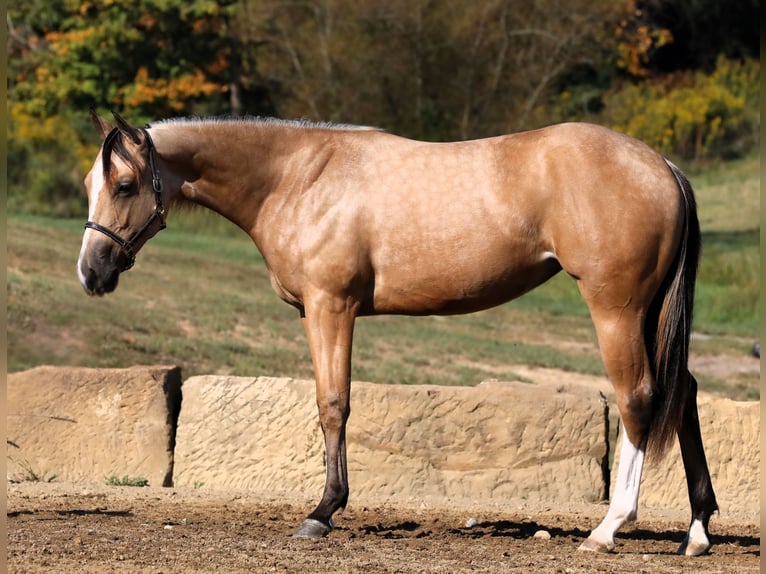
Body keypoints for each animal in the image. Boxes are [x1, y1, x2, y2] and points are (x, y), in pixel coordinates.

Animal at [78, 110, 720, 556]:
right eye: (91, 184)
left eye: (126, 185)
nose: (91, 272)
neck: (298, 177)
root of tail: (663, 167)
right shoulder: (319, 312)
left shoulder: (331, 308)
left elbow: (333, 405)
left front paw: (322, 512)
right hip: (652, 313)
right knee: (683, 393)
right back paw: (696, 531)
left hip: (617, 309)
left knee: (639, 397)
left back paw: (608, 529)